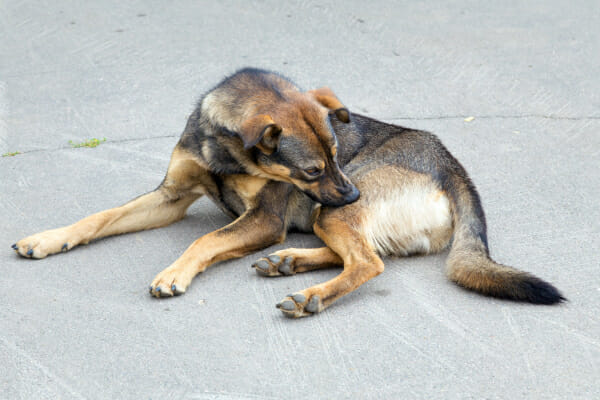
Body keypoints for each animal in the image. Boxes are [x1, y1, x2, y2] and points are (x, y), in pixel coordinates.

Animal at [15, 69, 568, 318]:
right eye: (312, 168)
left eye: (337, 152)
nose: (350, 193)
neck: (226, 152)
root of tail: (454, 167)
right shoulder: (170, 196)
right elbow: (99, 217)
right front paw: (48, 238)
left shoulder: (264, 220)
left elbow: (204, 240)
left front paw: (174, 274)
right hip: (332, 217)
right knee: (359, 253)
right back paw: (290, 263)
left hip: (333, 216)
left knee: (368, 261)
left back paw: (310, 295)